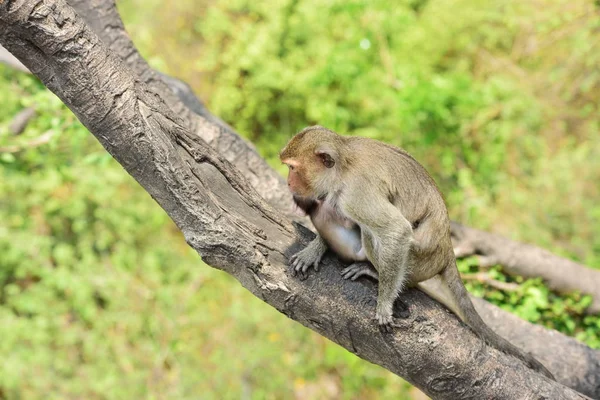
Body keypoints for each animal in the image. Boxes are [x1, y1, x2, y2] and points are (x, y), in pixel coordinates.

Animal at [278, 126, 556, 382]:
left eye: (293, 168)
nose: (288, 183)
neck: (342, 166)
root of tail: (447, 249)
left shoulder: (355, 194)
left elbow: (396, 230)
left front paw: (384, 304)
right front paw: (315, 249)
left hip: (419, 261)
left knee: (376, 235)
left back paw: (375, 272)